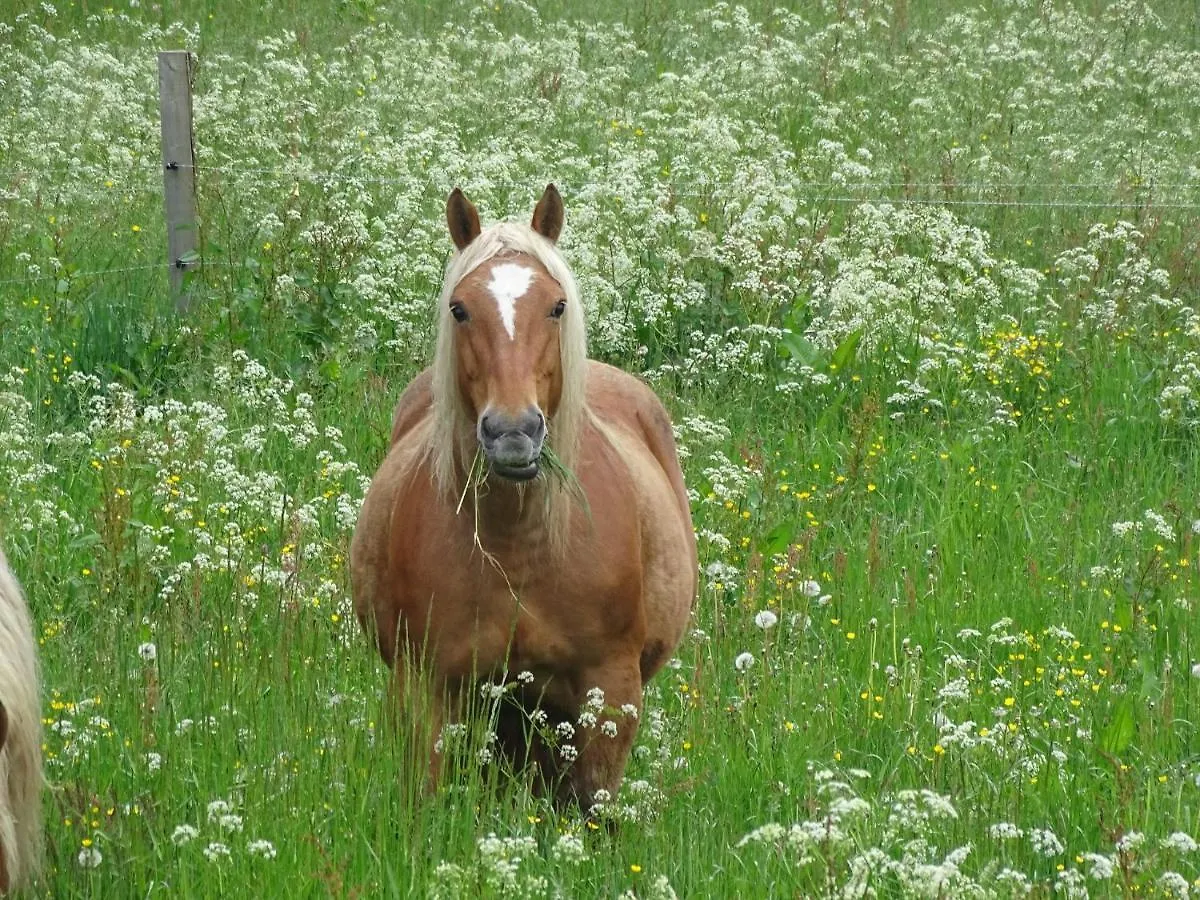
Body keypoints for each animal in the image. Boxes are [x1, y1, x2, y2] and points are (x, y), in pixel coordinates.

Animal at [348, 183, 700, 811]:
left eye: (557, 306)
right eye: (459, 309)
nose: (512, 433)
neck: (518, 547)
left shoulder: (610, 693)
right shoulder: (425, 691)